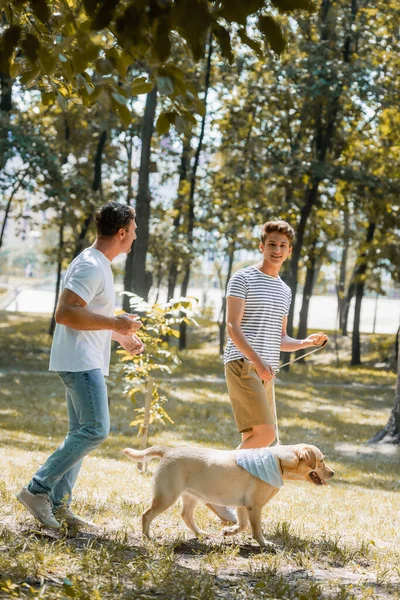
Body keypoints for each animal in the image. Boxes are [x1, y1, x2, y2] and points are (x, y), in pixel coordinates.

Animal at [124, 442, 334, 552]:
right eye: (322, 461)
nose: (333, 473)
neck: (280, 461)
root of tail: (168, 450)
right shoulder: (254, 507)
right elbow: (256, 529)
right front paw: (264, 544)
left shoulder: (242, 505)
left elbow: (243, 525)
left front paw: (228, 532)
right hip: (167, 496)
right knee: (146, 515)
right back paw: (147, 537)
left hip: (190, 496)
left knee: (186, 516)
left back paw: (200, 533)